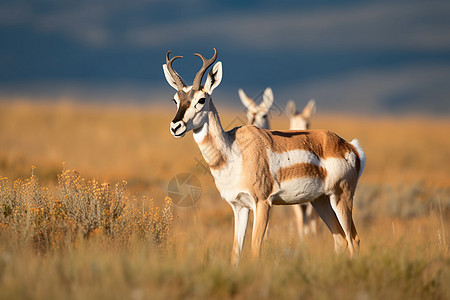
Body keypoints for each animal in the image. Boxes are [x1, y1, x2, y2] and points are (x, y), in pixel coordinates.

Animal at [286, 98, 322, 239]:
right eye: (292, 123)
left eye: (307, 123)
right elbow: (300, 219)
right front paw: (302, 239)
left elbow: (309, 218)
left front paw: (309, 237)